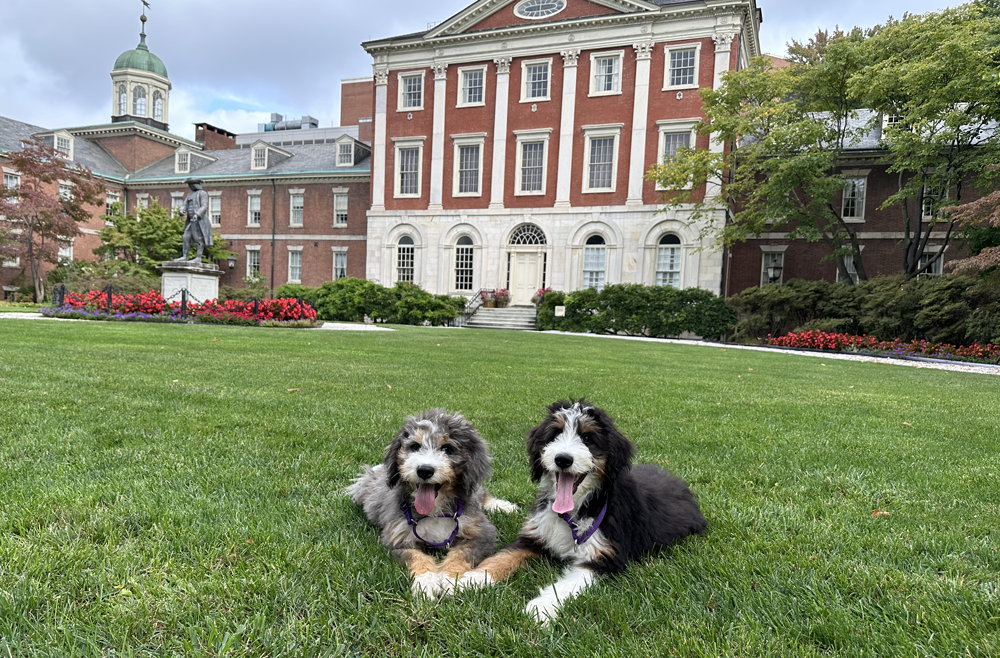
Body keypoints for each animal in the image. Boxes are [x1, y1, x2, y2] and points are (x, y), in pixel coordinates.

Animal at [348, 408, 516, 596]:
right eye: (415, 446)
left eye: (447, 448)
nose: (424, 470)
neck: (435, 511)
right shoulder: (398, 539)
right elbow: (417, 557)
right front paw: (425, 582)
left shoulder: (482, 534)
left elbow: (461, 553)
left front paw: (451, 578)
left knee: (482, 494)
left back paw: (503, 506)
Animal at [450, 400, 708, 620]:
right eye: (555, 434)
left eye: (587, 437)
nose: (563, 459)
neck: (577, 510)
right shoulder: (534, 536)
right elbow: (503, 556)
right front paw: (470, 580)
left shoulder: (603, 557)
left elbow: (567, 584)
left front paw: (540, 607)